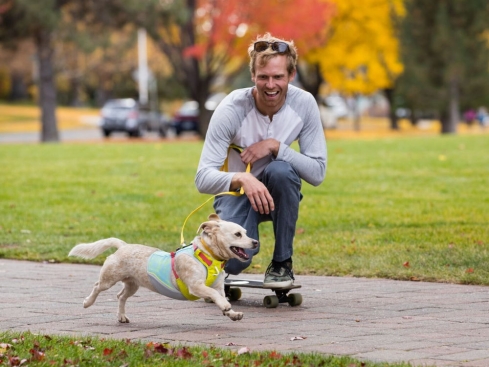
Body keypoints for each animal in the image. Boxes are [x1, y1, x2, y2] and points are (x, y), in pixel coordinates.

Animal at [69, 214, 260, 324]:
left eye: (246, 232)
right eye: (238, 234)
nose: (256, 242)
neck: (208, 256)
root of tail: (123, 246)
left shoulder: (219, 287)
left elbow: (219, 296)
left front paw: (232, 313)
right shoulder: (196, 286)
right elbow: (213, 294)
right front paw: (226, 306)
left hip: (132, 284)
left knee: (121, 296)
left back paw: (121, 316)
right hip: (109, 278)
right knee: (97, 287)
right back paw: (88, 302)